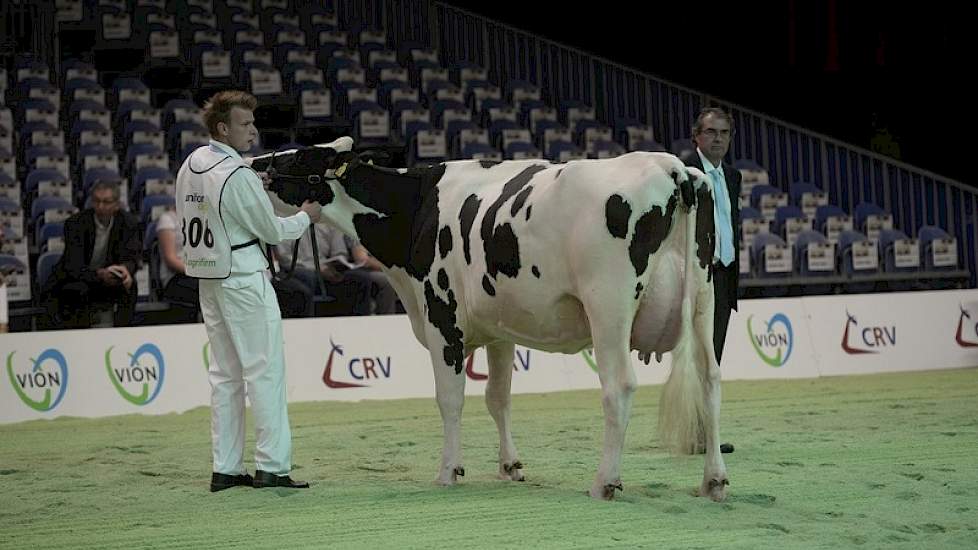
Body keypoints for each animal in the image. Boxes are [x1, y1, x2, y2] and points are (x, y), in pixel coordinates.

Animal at [248, 139, 728, 504]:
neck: (417, 208)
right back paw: (714, 480)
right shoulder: (501, 329)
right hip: (705, 300)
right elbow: (498, 398)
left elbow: (450, 399)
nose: (251, 164)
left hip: (608, 303)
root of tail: (672, 168)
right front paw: (510, 466)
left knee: (619, 387)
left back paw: (604, 481)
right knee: (709, 379)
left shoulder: (441, 317)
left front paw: (447, 471)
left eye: (296, 157)